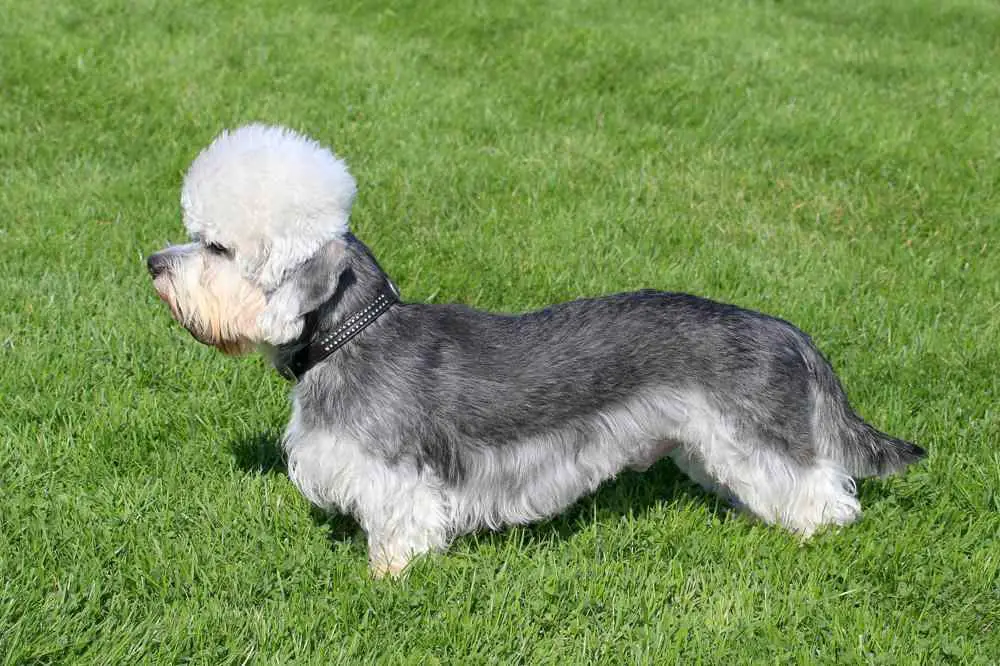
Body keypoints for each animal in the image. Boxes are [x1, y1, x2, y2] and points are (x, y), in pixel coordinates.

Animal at [146, 124, 920, 576]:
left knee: (825, 494)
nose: (153, 263)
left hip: (759, 439)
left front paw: (386, 578)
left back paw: (815, 537)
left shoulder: (396, 479)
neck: (353, 337)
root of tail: (785, 329)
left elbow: (399, 531)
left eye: (216, 247)